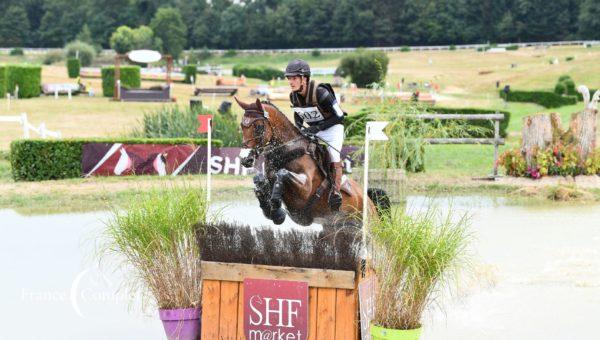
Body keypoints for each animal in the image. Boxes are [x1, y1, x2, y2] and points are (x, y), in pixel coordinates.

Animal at [234, 98, 390, 230]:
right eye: (242, 125)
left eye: (259, 127)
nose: (244, 158)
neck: (287, 152)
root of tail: (370, 202)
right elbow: (260, 180)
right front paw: (273, 210)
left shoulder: (305, 189)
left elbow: (282, 173)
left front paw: (276, 204)